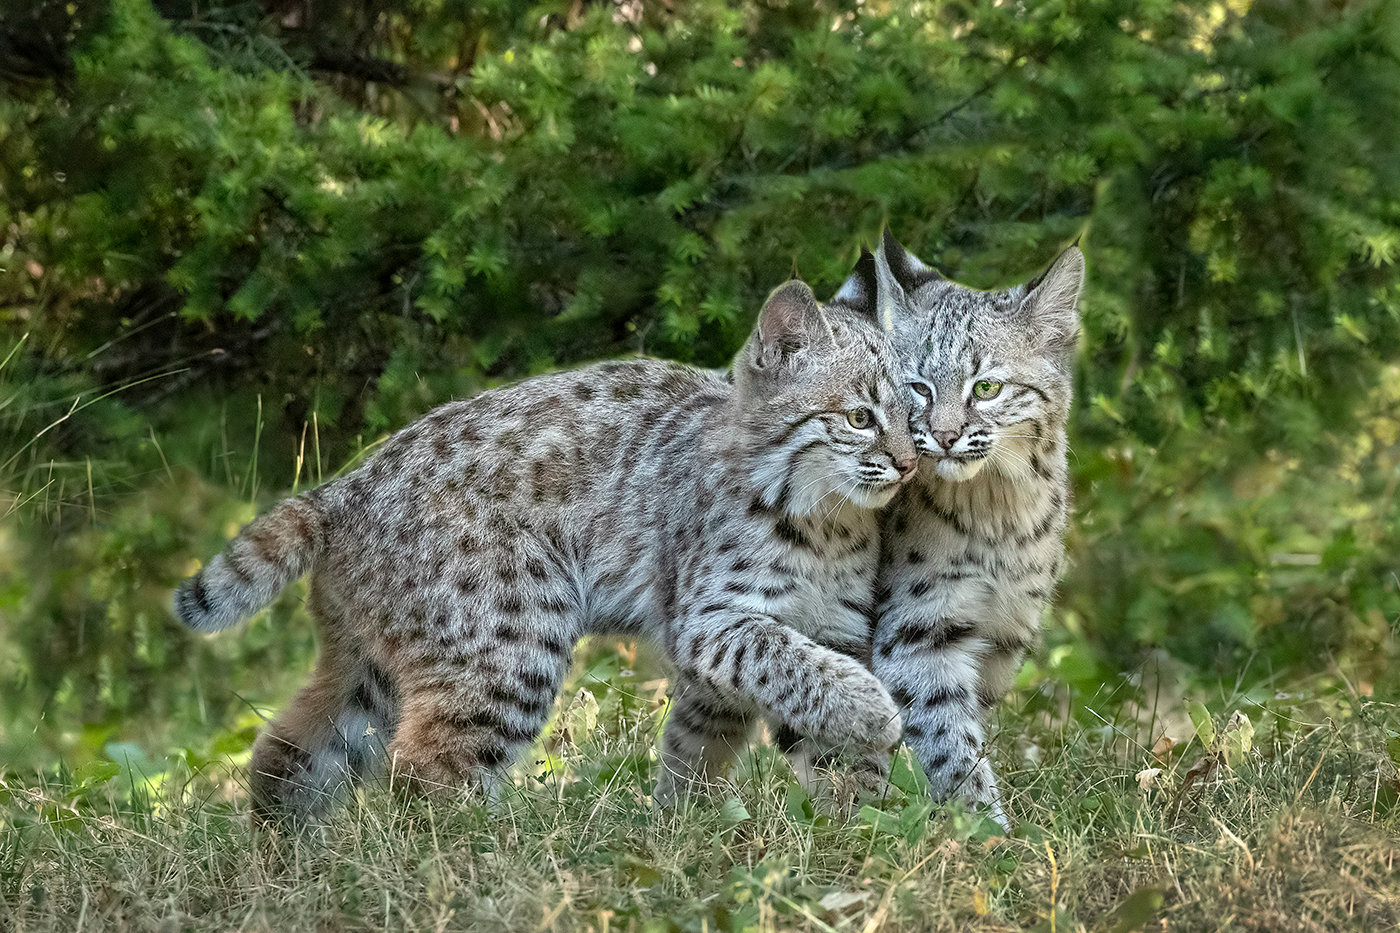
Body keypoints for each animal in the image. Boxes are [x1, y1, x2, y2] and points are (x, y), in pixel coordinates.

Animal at [175, 277, 918, 823]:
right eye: (860, 418)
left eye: (918, 410)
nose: (913, 463)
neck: (826, 519)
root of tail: (344, 485)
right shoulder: (708, 620)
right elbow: (791, 664)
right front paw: (876, 718)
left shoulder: (835, 625)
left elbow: (766, 725)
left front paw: (857, 826)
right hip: (513, 634)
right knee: (425, 771)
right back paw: (490, 856)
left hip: (377, 661)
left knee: (289, 749)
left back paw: (284, 853)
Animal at [828, 231, 1080, 823]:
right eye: (918, 388)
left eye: (986, 388)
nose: (943, 438)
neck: (1000, 505)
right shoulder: (919, 630)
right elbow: (946, 734)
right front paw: (984, 828)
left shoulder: (1006, 632)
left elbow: (966, 728)